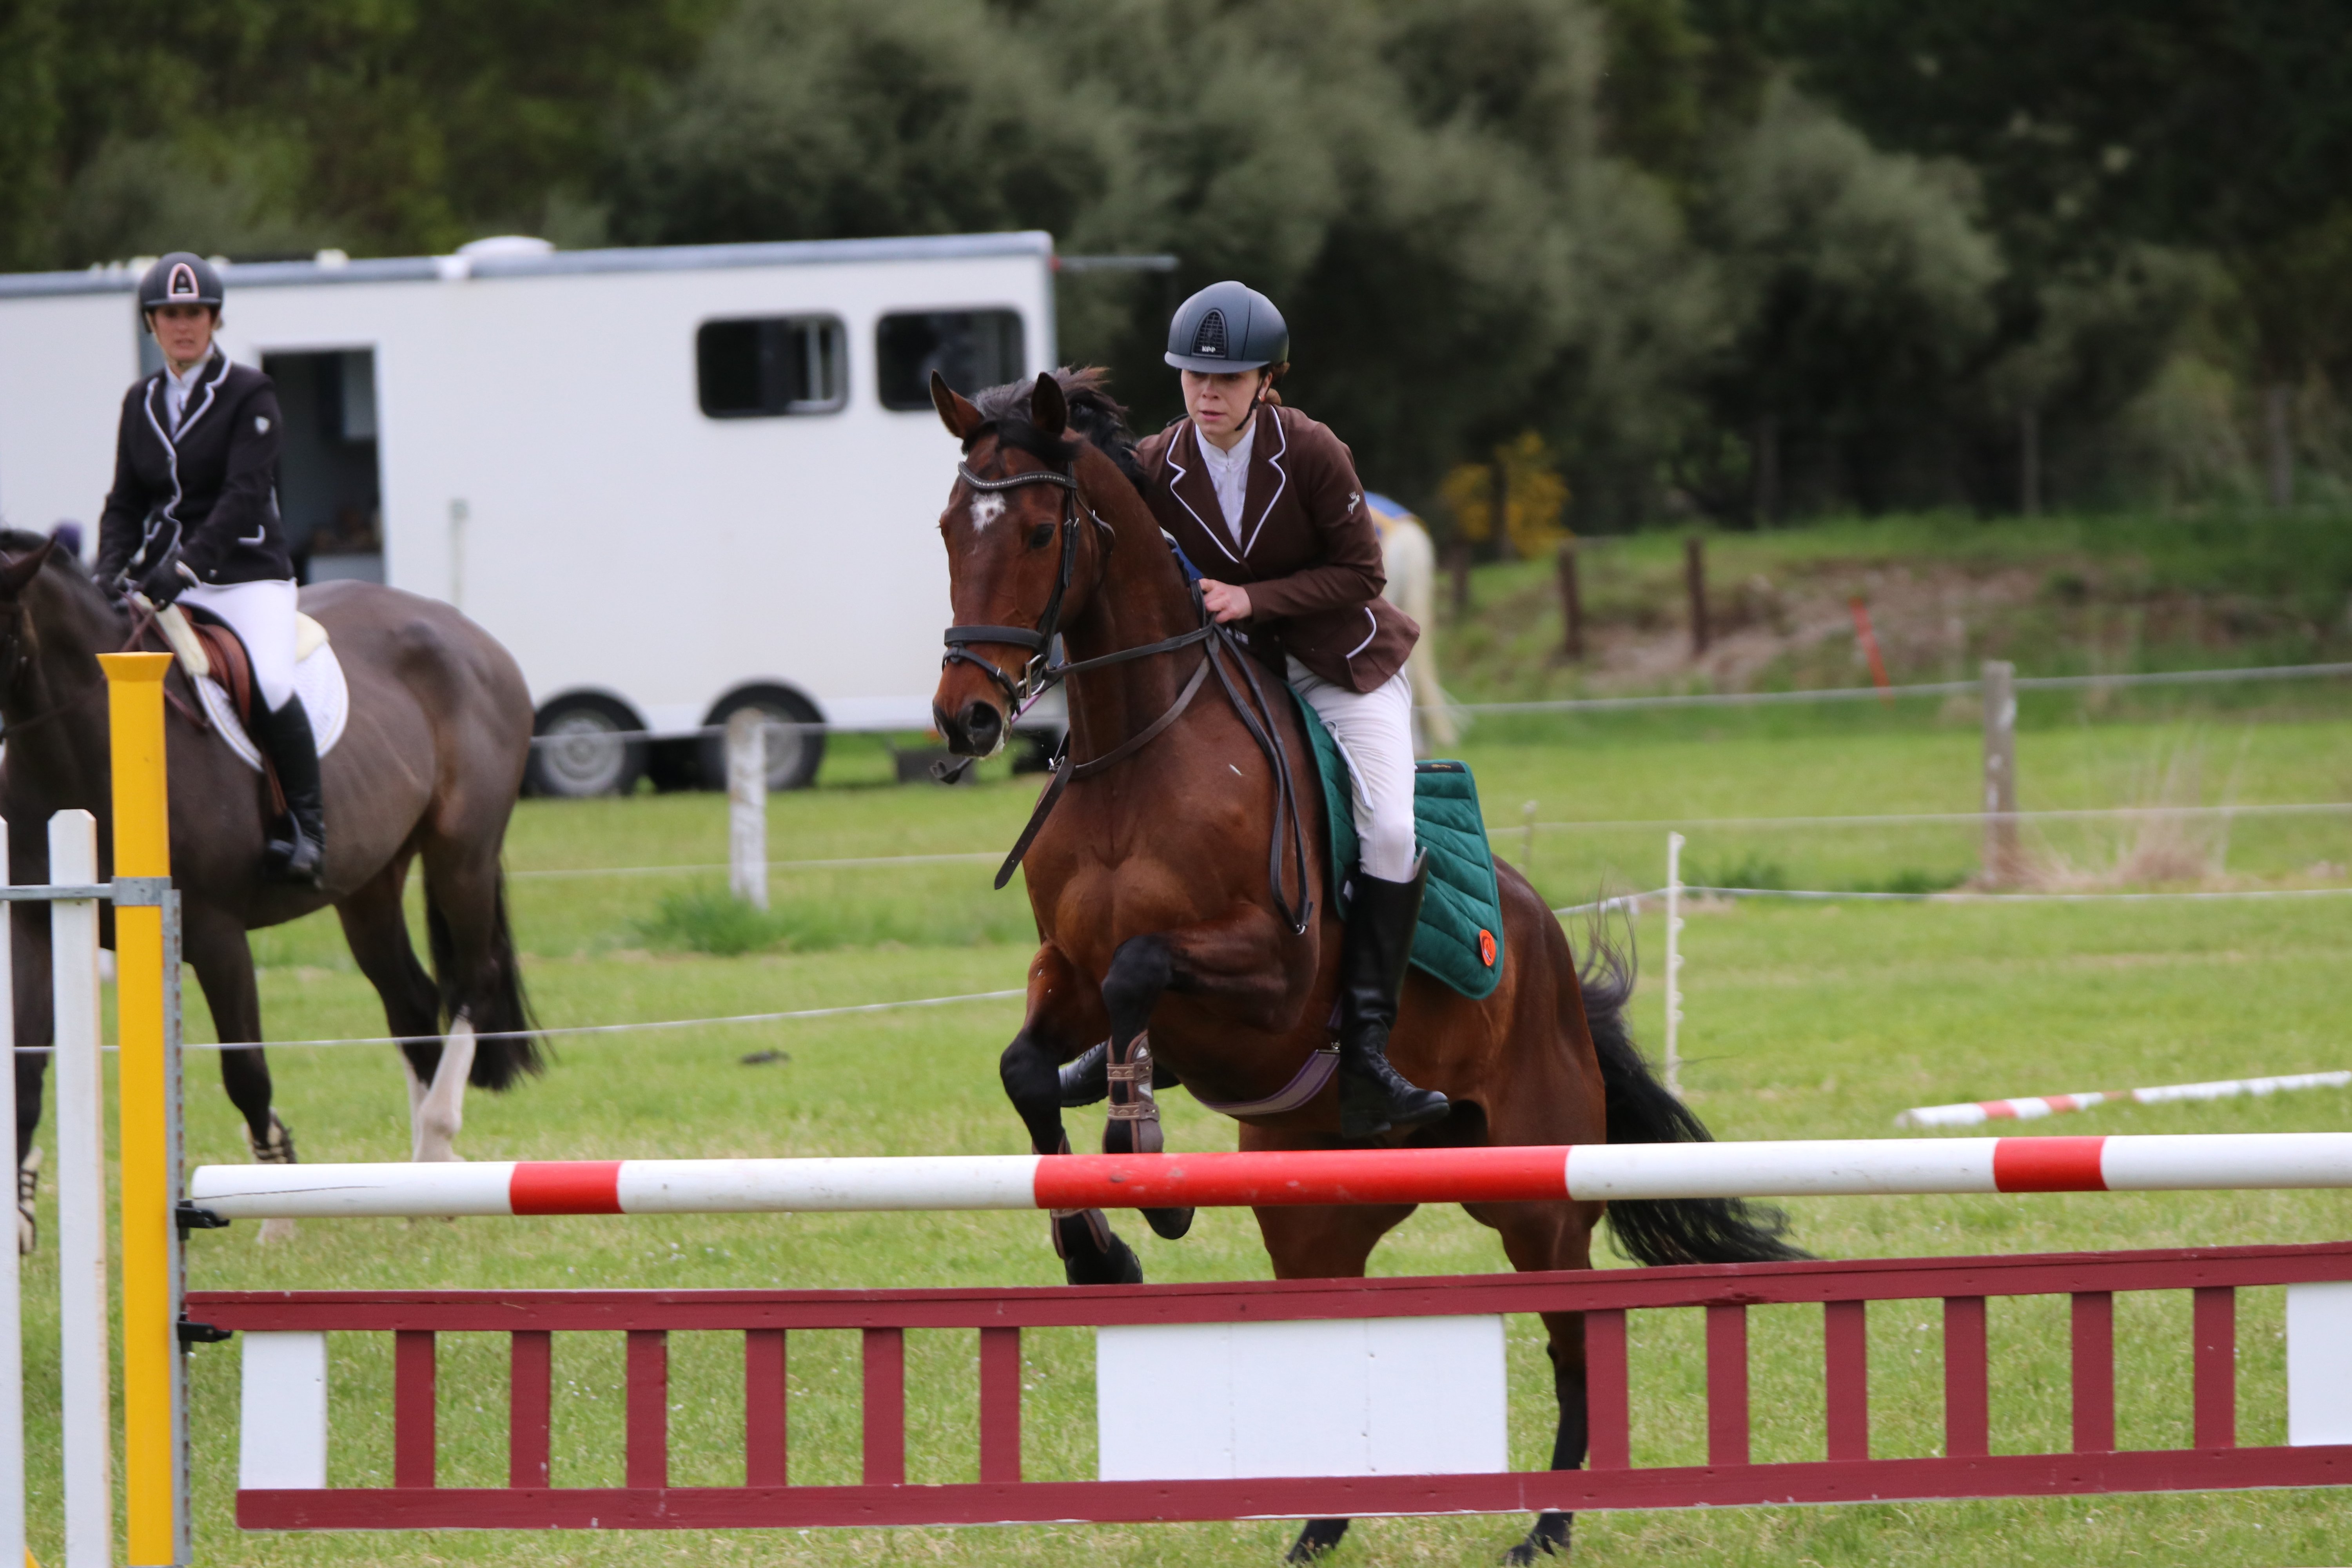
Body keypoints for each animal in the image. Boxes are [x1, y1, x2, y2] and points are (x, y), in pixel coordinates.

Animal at [0, 534, 539, 1241]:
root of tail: (472, 635)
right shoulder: (38, 922)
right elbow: (25, 1068)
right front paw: (19, 1216)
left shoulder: (217, 933)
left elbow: (246, 1073)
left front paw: (276, 1208)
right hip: (369, 885)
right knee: (412, 1003)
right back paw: (427, 1180)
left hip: (462, 854)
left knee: (474, 981)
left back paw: (438, 1146)